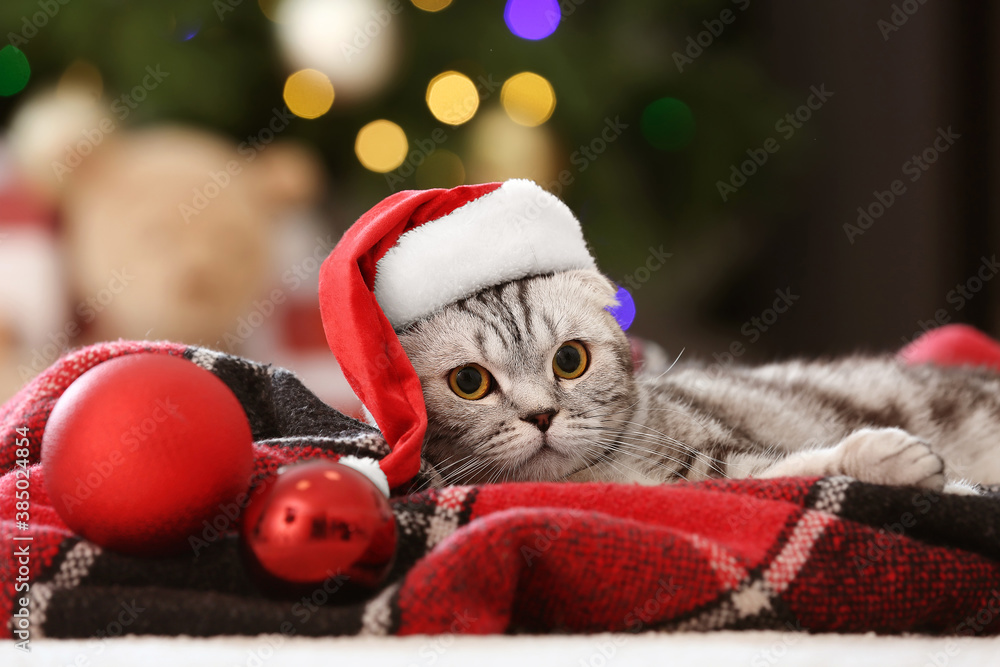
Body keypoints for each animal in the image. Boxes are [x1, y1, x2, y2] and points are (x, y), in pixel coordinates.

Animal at [396, 268, 1000, 494]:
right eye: (469, 381)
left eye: (569, 360)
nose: (541, 415)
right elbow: (792, 470)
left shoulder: (725, 456)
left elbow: (789, 466)